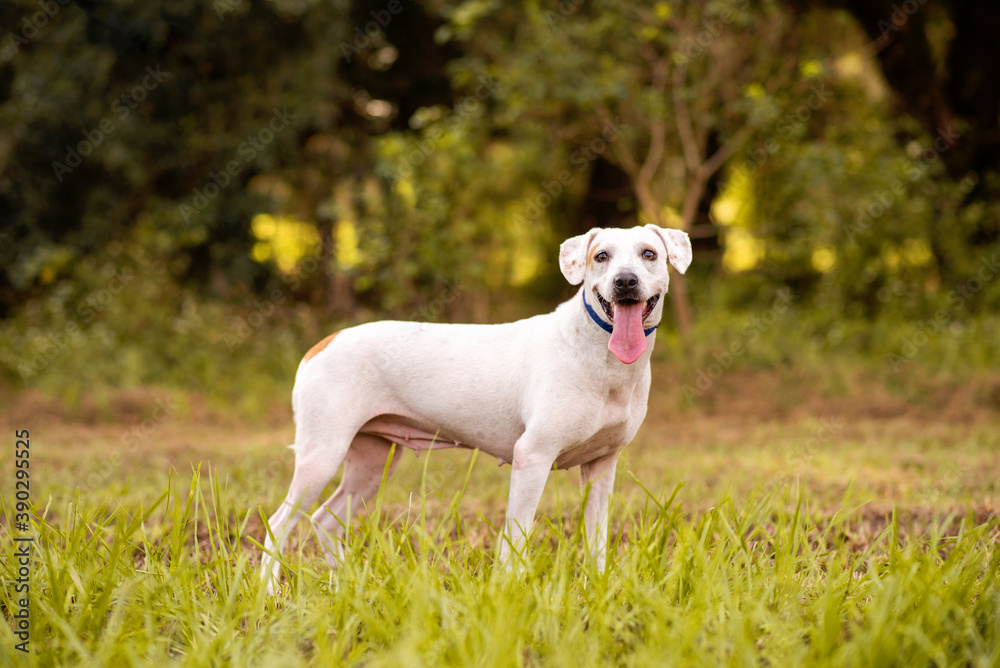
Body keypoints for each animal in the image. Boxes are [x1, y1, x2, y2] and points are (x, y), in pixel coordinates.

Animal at [262, 226, 692, 588]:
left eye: (649, 254)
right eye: (601, 257)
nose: (625, 281)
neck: (602, 358)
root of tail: (324, 342)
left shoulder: (602, 467)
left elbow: (597, 538)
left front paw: (599, 586)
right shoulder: (532, 458)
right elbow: (518, 534)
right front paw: (511, 590)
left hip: (372, 463)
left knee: (325, 520)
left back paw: (345, 584)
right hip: (322, 456)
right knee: (278, 524)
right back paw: (270, 594)